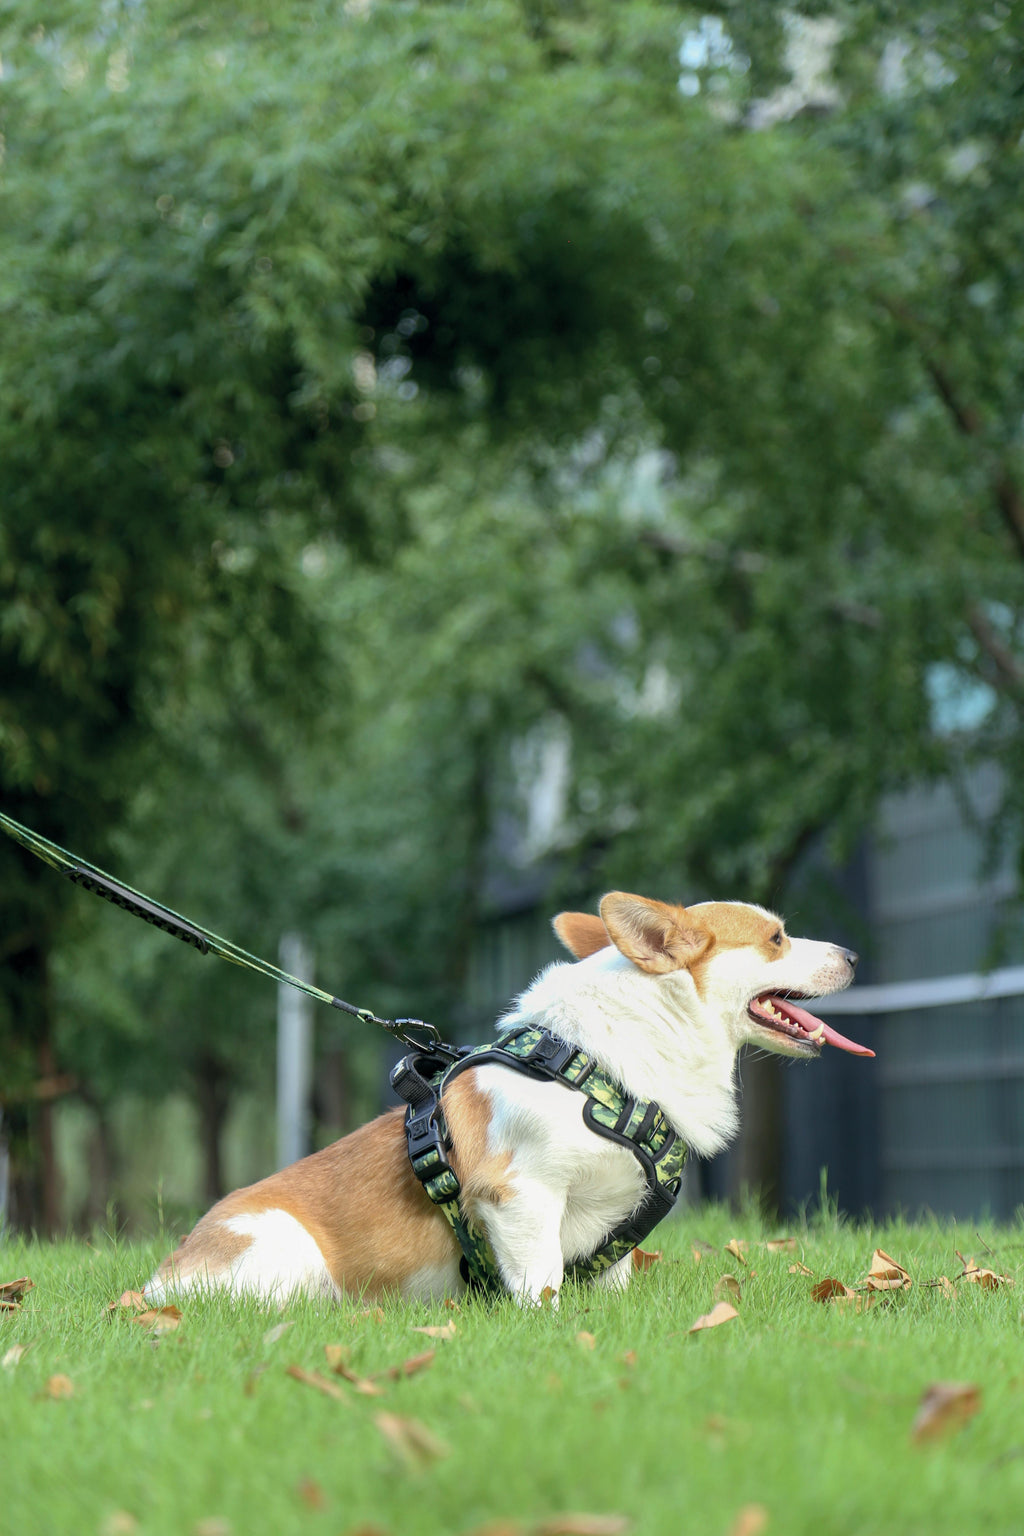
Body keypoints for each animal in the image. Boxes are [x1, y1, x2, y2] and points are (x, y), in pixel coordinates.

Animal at [142, 890, 865, 1308]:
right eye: (776, 939)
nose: (856, 954)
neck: (605, 1072)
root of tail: (152, 1286)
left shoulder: (611, 1229)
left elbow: (611, 1277)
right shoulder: (522, 1195)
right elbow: (540, 1283)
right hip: (287, 1256)